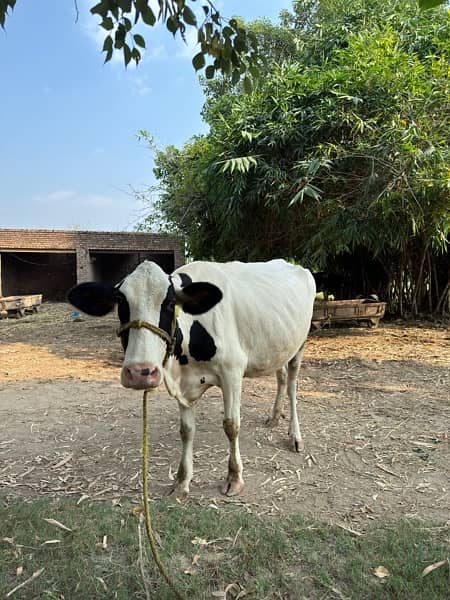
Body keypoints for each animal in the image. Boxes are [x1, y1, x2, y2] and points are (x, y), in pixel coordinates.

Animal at [68, 260, 316, 500]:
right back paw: (274, 417)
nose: (140, 372)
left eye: (169, 303)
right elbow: (186, 430)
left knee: (292, 385)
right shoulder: (183, 386)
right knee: (281, 377)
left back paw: (295, 436)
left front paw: (234, 477)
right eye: (120, 301)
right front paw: (181, 481)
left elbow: (231, 426)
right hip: (279, 347)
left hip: (300, 344)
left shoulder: (232, 372)